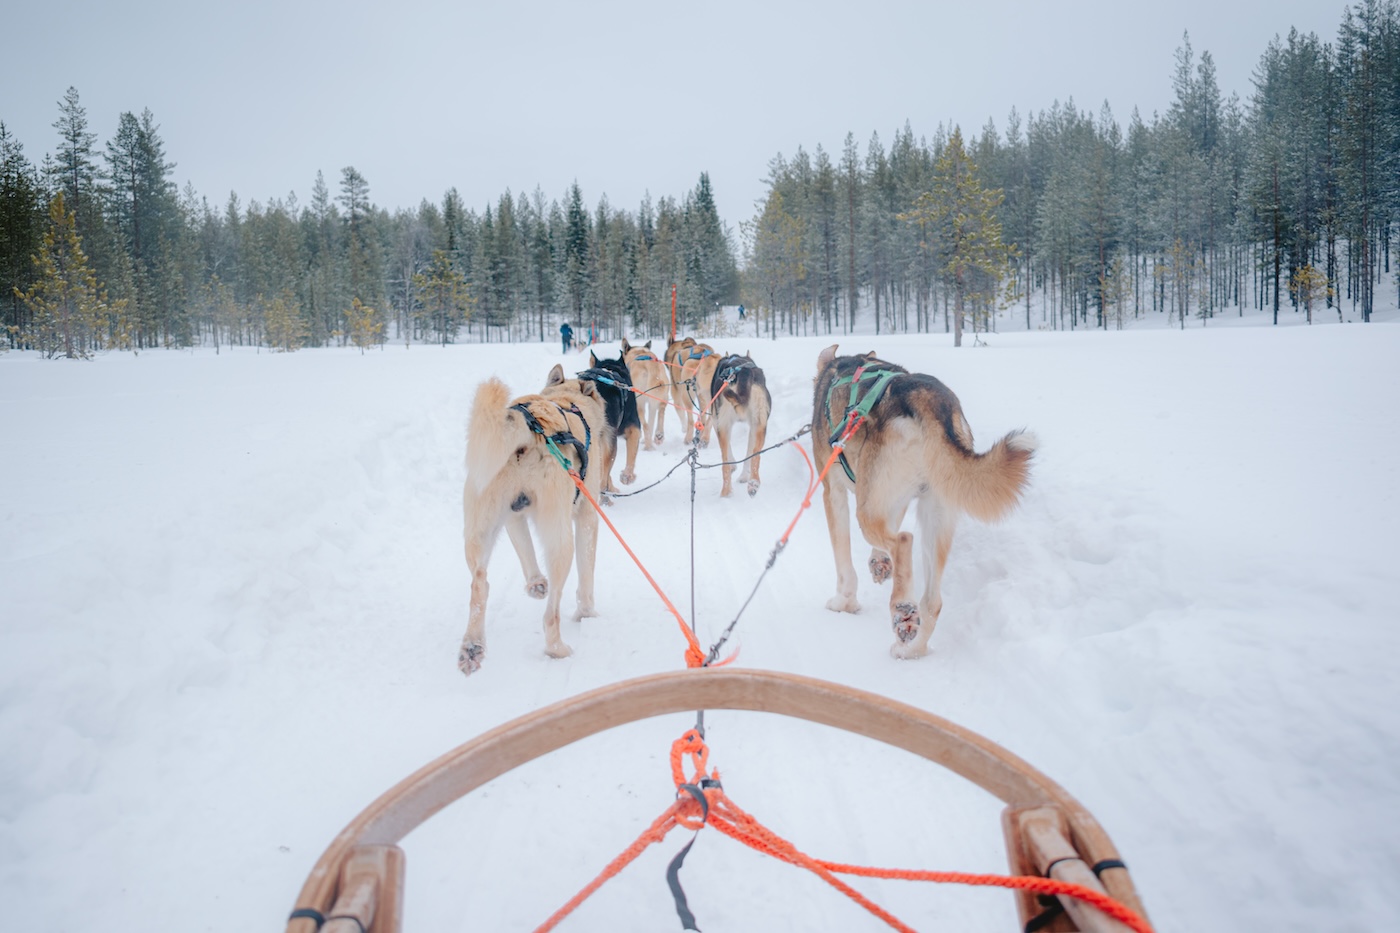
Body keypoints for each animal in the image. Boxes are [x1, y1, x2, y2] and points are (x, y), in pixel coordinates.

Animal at [459, 364, 607, 675]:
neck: (567, 401)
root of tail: (530, 430)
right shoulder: (588, 517)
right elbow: (586, 576)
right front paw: (586, 613)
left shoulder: (514, 517)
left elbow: (525, 553)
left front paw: (536, 584)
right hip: (560, 540)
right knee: (551, 614)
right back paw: (557, 649)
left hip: (481, 528)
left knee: (480, 583)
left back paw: (472, 647)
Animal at [705, 348, 772, 493]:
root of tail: (743, 371)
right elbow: (749, 455)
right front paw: (744, 476)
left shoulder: (716, 421)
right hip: (759, 424)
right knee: (755, 454)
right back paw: (752, 483)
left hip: (723, 423)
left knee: (725, 463)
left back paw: (726, 492)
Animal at [817, 344, 1036, 658]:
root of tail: (928, 398)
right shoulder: (892, 500)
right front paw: (878, 563)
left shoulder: (832, 492)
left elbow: (843, 559)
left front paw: (843, 602)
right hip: (934, 513)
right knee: (932, 601)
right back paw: (912, 646)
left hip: (867, 511)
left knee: (903, 540)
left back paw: (902, 608)